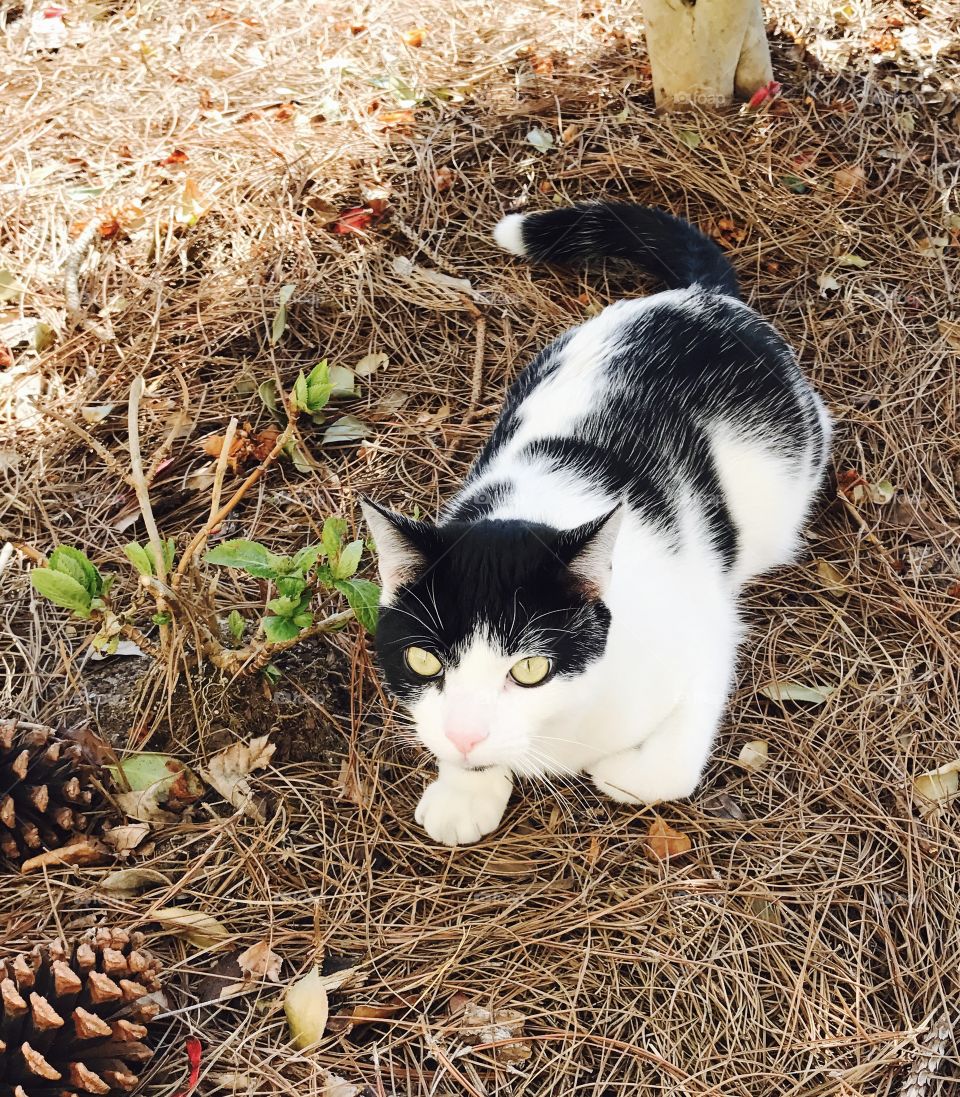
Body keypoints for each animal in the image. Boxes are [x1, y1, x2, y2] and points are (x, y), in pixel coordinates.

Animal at [364, 199, 829, 846]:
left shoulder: (707, 632)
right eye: (424, 661)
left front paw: (620, 773)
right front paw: (465, 789)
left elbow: (666, 765)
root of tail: (699, 298)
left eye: (530, 670)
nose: (466, 735)